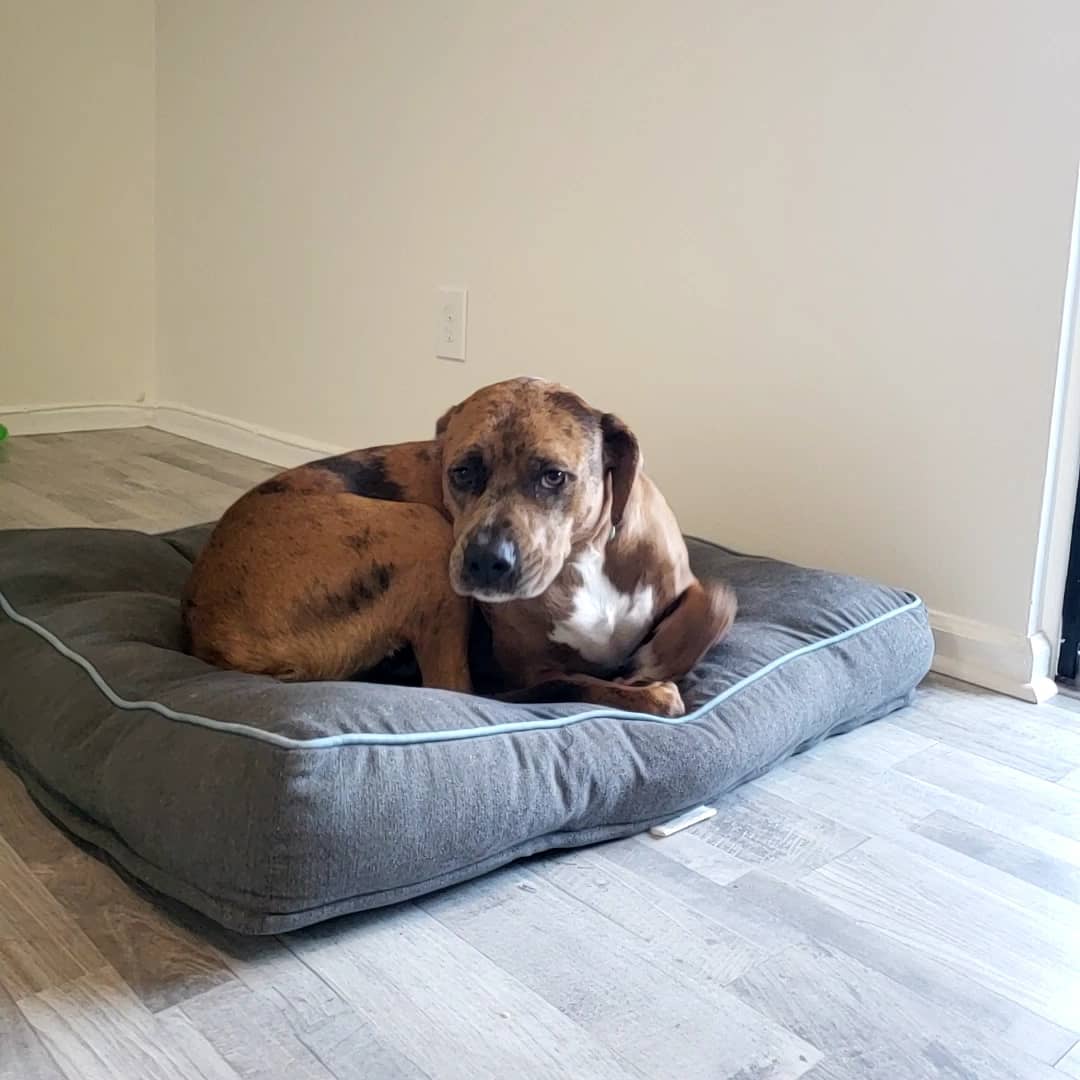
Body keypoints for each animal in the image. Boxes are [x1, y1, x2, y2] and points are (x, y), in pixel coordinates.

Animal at [183, 380, 734, 717]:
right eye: (462, 472)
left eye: (554, 476)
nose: (485, 561)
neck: (586, 557)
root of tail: (208, 630)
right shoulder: (530, 665)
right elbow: (581, 682)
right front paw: (650, 685)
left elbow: (718, 600)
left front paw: (661, 653)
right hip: (424, 532)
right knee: (456, 691)